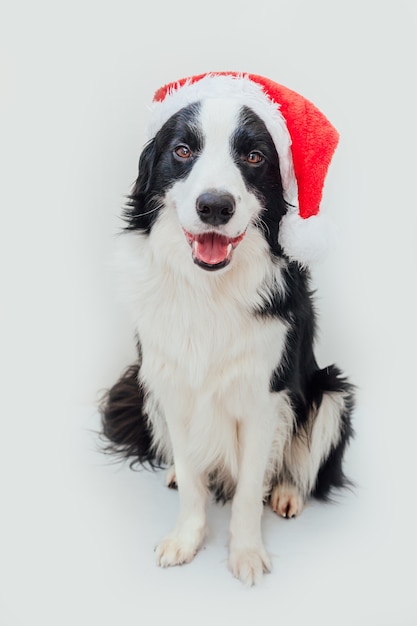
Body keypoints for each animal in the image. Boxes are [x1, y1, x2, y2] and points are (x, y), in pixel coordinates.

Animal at [99, 73, 352, 584]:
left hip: (332, 392)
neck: (209, 290)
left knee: (300, 463)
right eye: (182, 150)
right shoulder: (172, 382)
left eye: (254, 157)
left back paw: (287, 493)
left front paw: (247, 554)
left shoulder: (263, 397)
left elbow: (250, 488)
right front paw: (186, 538)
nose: (214, 206)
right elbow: (195, 483)